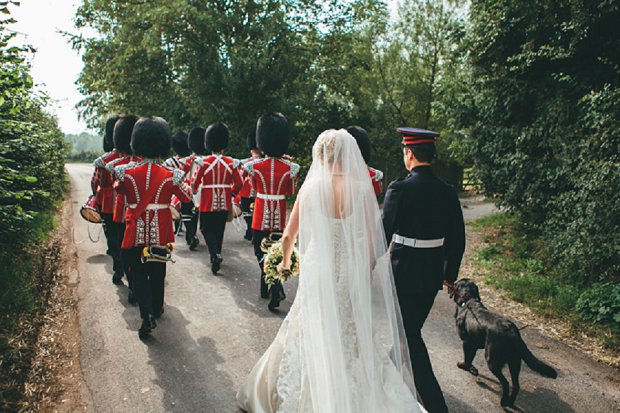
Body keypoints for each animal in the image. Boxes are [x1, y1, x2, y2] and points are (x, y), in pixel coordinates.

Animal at [450, 276, 556, 406]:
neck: (469, 299)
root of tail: (512, 332)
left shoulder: (466, 342)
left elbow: (467, 357)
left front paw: (464, 366)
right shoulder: (473, 344)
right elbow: (471, 357)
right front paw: (472, 369)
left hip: (492, 360)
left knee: (505, 383)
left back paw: (503, 402)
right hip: (514, 361)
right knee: (516, 385)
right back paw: (509, 402)